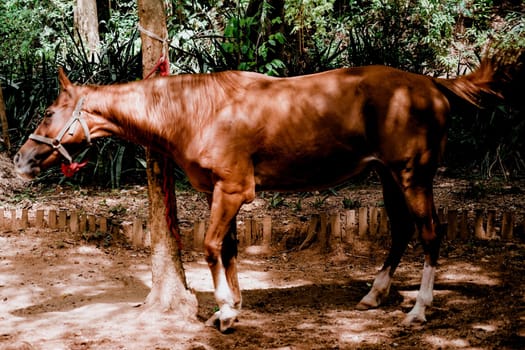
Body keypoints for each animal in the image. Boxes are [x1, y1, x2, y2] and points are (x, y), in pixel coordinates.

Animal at [14, 50, 520, 332]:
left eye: (48, 111)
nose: (19, 160)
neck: (198, 110)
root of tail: (434, 83)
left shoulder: (234, 190)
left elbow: (211, 246)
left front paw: (225, 312)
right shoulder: (222, 192)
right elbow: (229, 249)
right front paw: (232, 306)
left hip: (414, 175)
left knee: (431, 233)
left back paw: (419, 310)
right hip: (388, 176)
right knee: (399, 232)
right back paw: (375, 295)